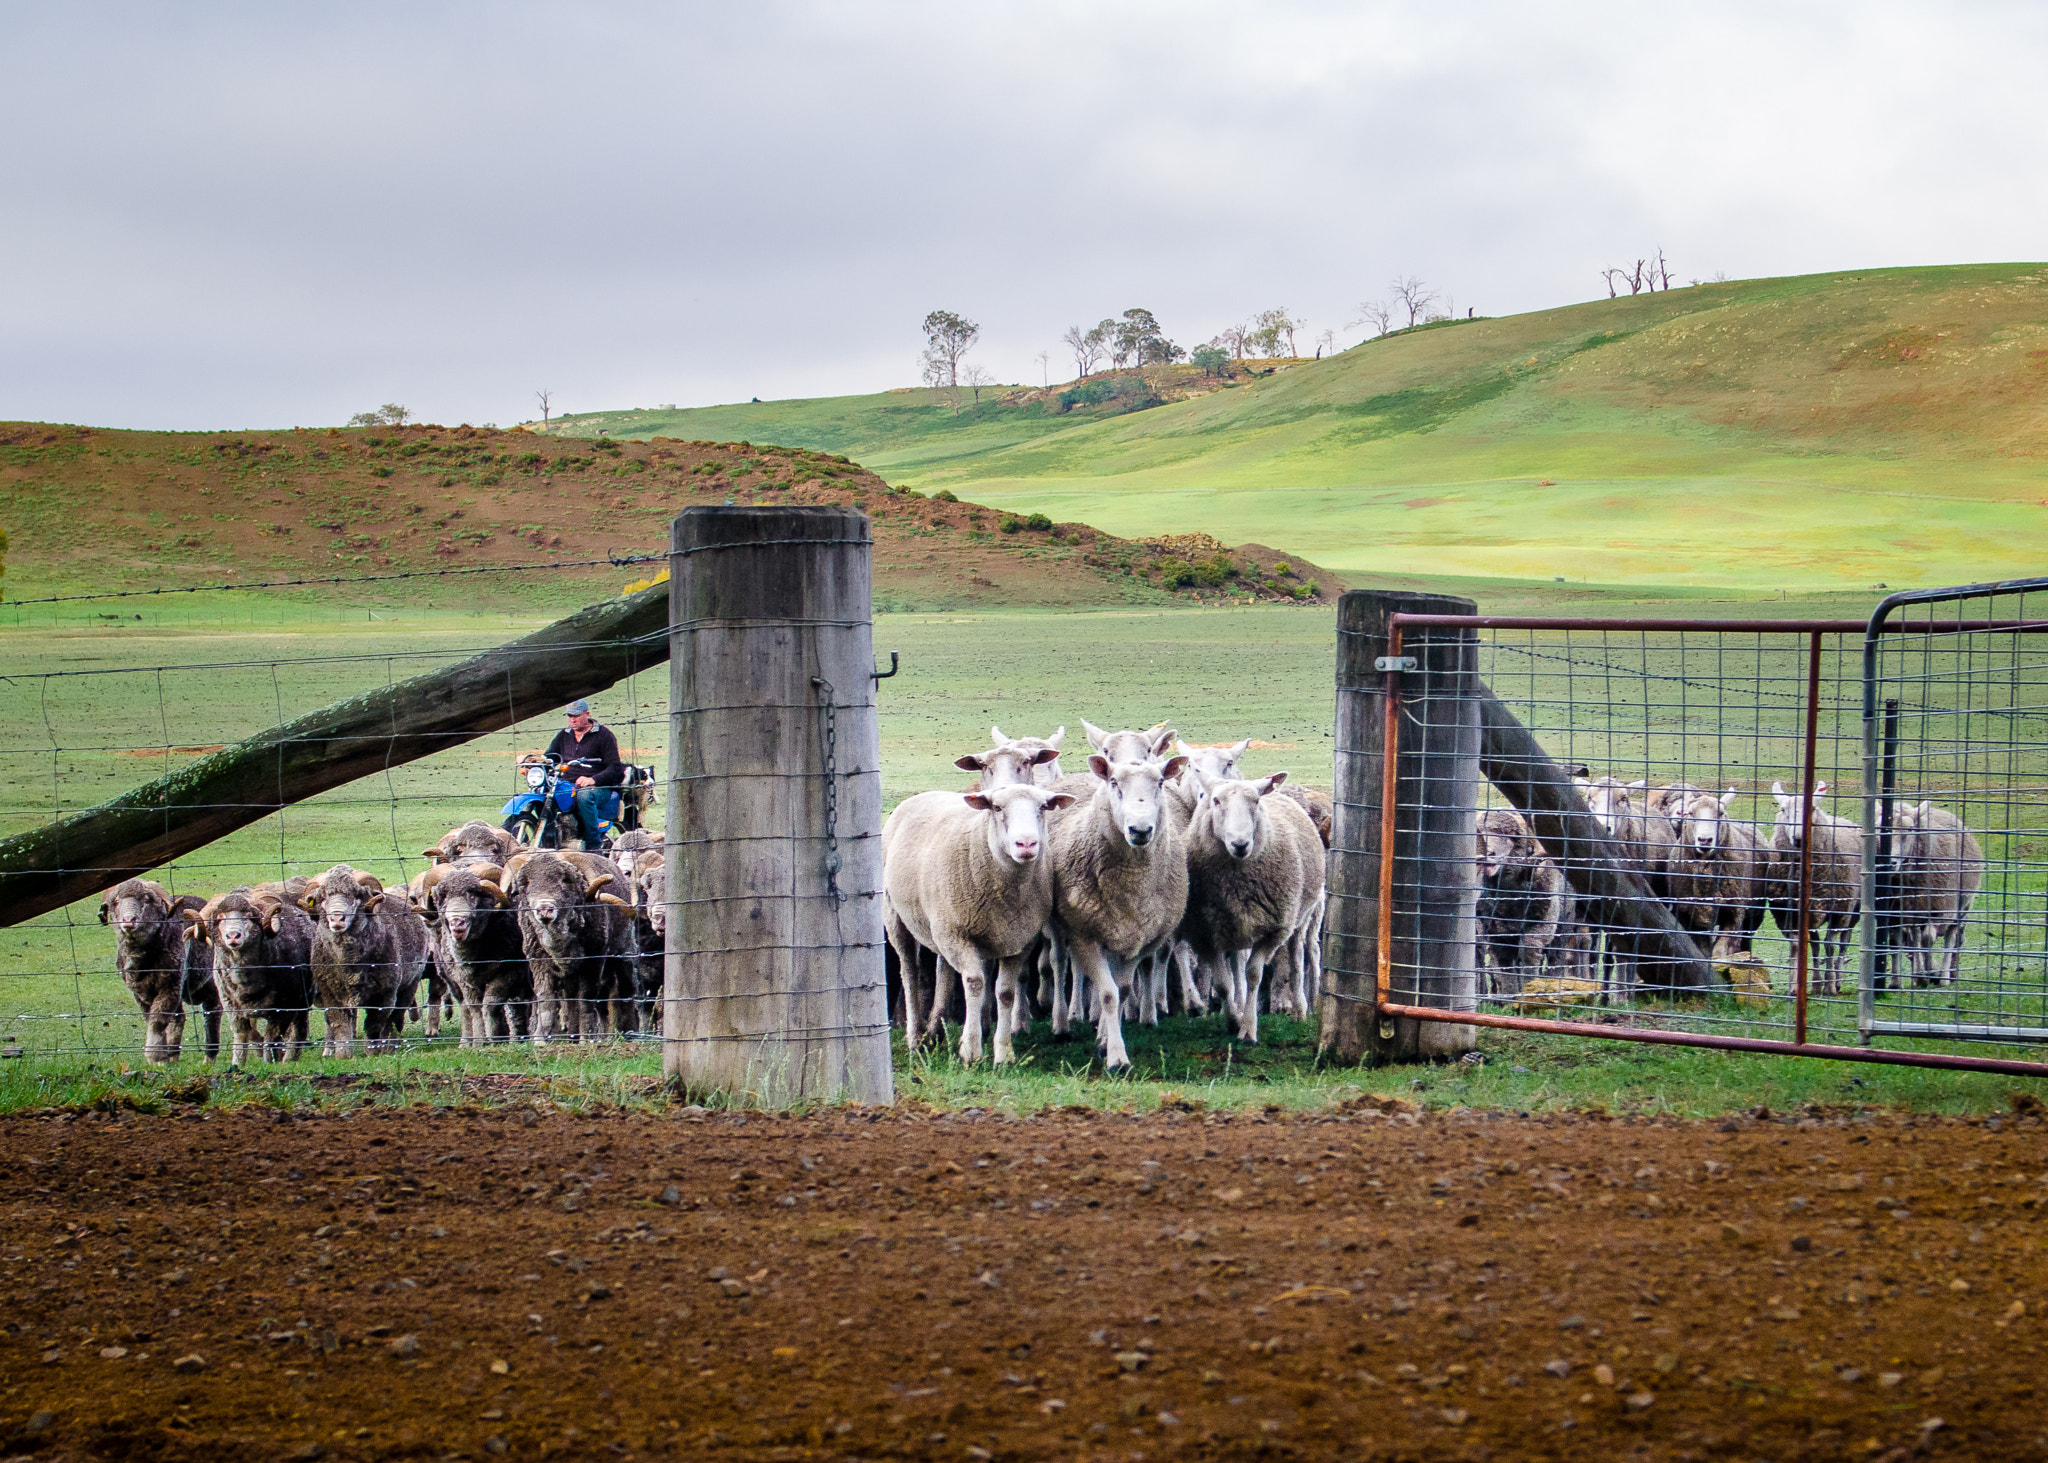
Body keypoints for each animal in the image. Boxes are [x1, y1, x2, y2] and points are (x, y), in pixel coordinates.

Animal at [880, 786, 1073, 1057]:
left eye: (1043, 807)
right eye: (997, 808)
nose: (1026, 844)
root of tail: (925, 794)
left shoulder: (1019, 940)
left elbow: (1005, 992)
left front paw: (1004, 1053)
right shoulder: (960, 934)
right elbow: (975, 983)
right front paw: (971, 1049)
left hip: (943, 925)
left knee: (943, 969)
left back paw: (936, 1029)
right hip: (897, 914)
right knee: (909, 971)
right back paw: (916, 1037)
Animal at [1769, 774, 1867, 991]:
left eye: (1813, 809)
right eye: (1783, 810)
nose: (1798, 838)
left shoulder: (1839, 909)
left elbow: (1830, 945)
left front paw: (1829, 985)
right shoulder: (1787, 912)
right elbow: (1799, 945)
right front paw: (1798, 986)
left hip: (1854, 909)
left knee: (1844, 942)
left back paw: (1837, 980)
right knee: (1815, 943)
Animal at [1884, 790, 1982, 987]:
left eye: (1910, 830)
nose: (1891, 863)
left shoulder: (1939, 908)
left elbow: (1928, 939)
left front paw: (1929, 973)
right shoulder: (1895, 913)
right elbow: (1896, 941)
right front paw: (1897, 982)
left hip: (1960, 906)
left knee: (1951, 937)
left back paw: (1944, 976)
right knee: (1915, 937)